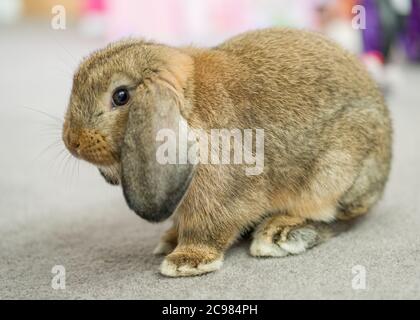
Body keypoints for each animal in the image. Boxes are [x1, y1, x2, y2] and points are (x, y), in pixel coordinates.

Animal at [63, 28, 394, 276]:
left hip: (335, 173)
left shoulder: (224, 197)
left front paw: (185, 262)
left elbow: (210, 228)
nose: (71, 141)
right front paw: (170, 241)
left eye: (121, 96)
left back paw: (278, 235)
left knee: (340, 218)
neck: (189, 105)